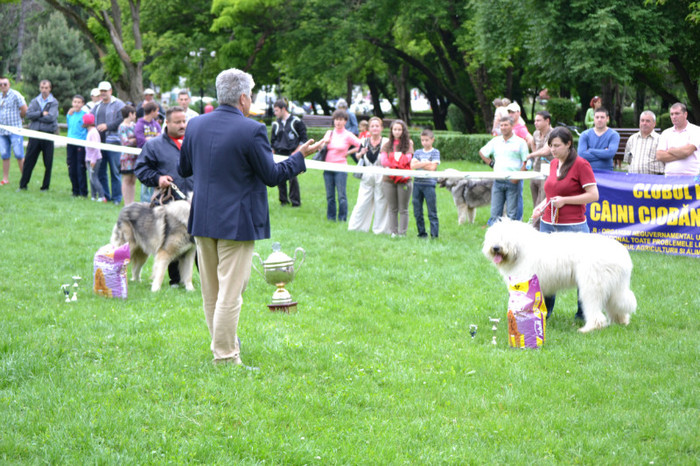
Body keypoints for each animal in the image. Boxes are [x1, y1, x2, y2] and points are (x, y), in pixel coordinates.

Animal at [484, 217, 636, 334]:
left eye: (505, 237)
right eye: (494, 237)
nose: (496, 248)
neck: (520, 250)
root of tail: (622, 254)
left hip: (592, 285)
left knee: (595, 310)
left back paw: (589, 328)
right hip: (614, 286)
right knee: (616, 304)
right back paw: (620, 322)